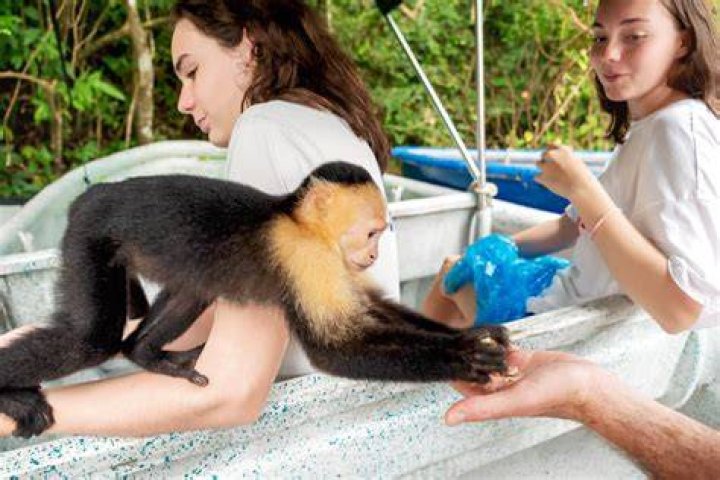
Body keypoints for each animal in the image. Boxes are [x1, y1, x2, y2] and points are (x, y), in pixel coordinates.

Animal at [0, 161, 509, 438]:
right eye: (372, 233)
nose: (372, 254)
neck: (301, 222)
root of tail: (94, 195)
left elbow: (370, 308)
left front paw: (472, 334)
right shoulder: (305, 256)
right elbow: (332, 349)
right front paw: (463, 358)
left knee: (194, 291)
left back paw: (145, 353)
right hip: (91, 236)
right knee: (90, 341)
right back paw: (14, 397)